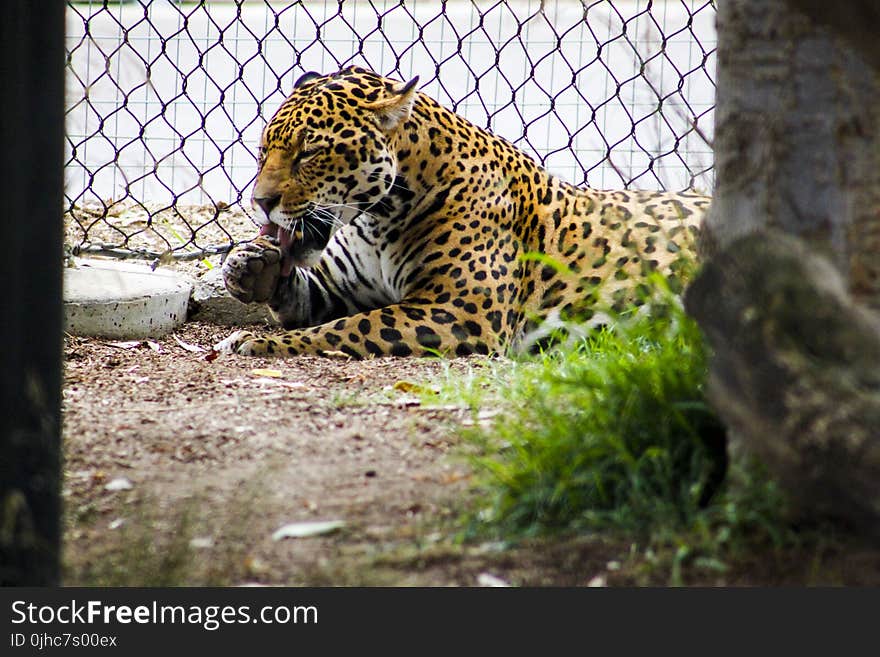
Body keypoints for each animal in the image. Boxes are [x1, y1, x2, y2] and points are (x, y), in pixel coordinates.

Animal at [217, 66, 712, 358]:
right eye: (263, 151)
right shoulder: (344, 288)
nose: (260, 202)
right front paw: (251, 266)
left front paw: (258, 341)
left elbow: (347, 328)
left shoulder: (457, 311)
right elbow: (310, 295)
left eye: (310, 153)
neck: (378, 219)